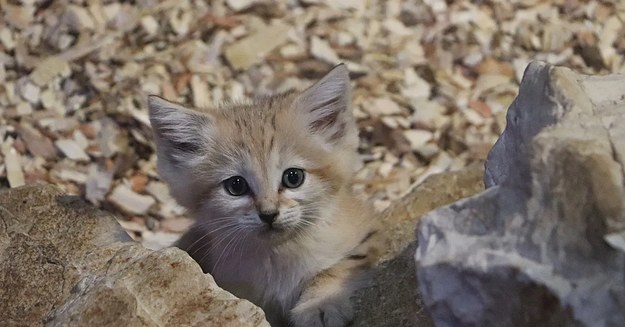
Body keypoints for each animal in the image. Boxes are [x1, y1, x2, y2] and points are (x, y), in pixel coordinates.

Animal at [149, 64, 380, 327]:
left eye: (293, 177)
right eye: (236, 186)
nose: (269, 214)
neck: (279, 256)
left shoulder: (366, 232)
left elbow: (336, 269)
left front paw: (319, 304)